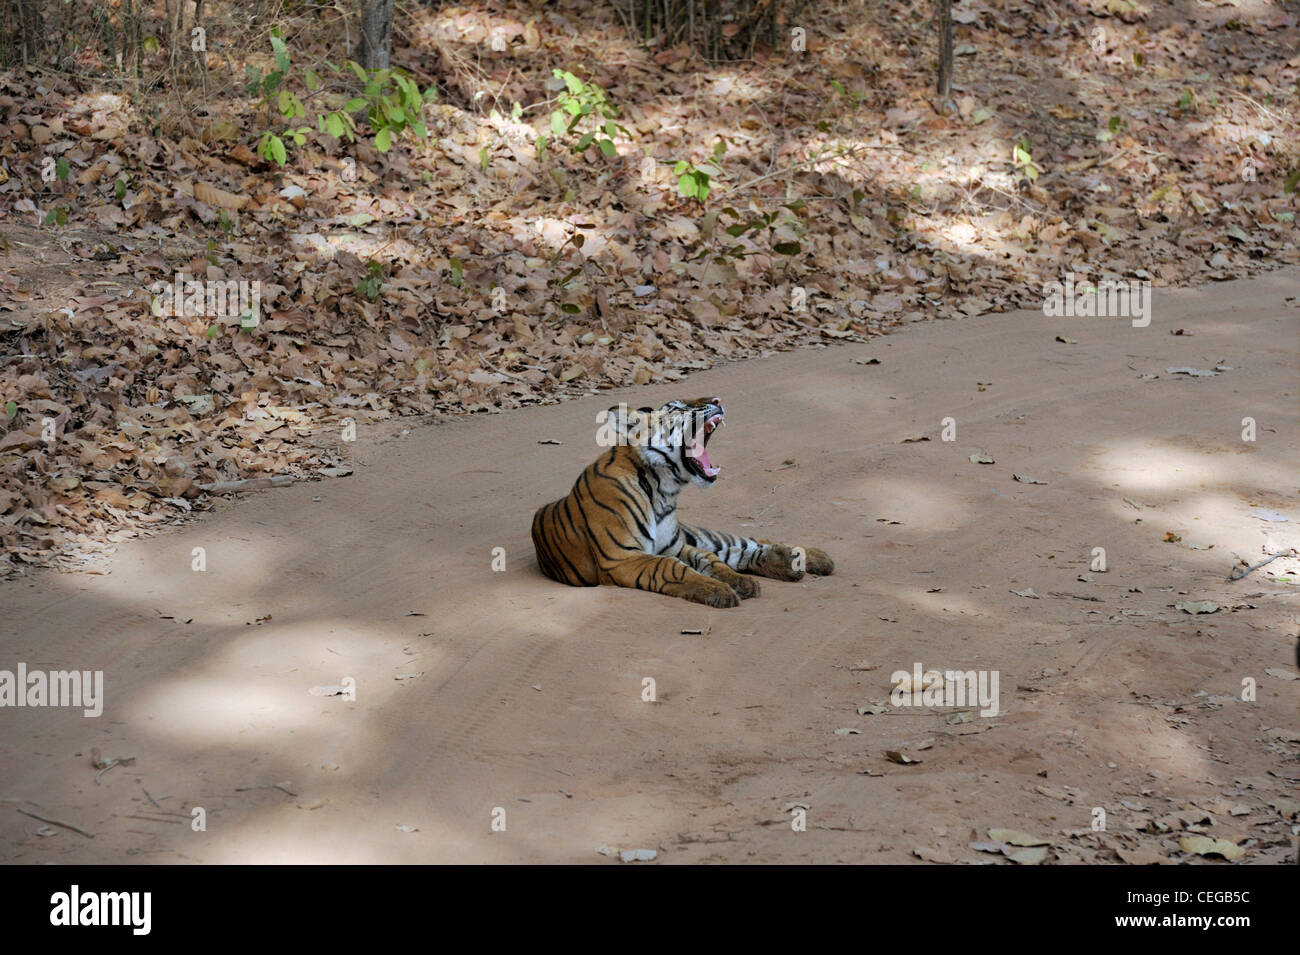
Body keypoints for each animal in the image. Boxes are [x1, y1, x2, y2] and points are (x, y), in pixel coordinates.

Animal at [533, 397, 837, 608]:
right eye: (677, 408)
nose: (718, 401)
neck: (663, 490)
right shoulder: (621, 558)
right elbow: (674, 569)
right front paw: (722, 591)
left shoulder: (676, 546)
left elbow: (710, 561)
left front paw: (736, 582)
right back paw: (789, 561)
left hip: (699, 534)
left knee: (743, 542)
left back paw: (808, 558)